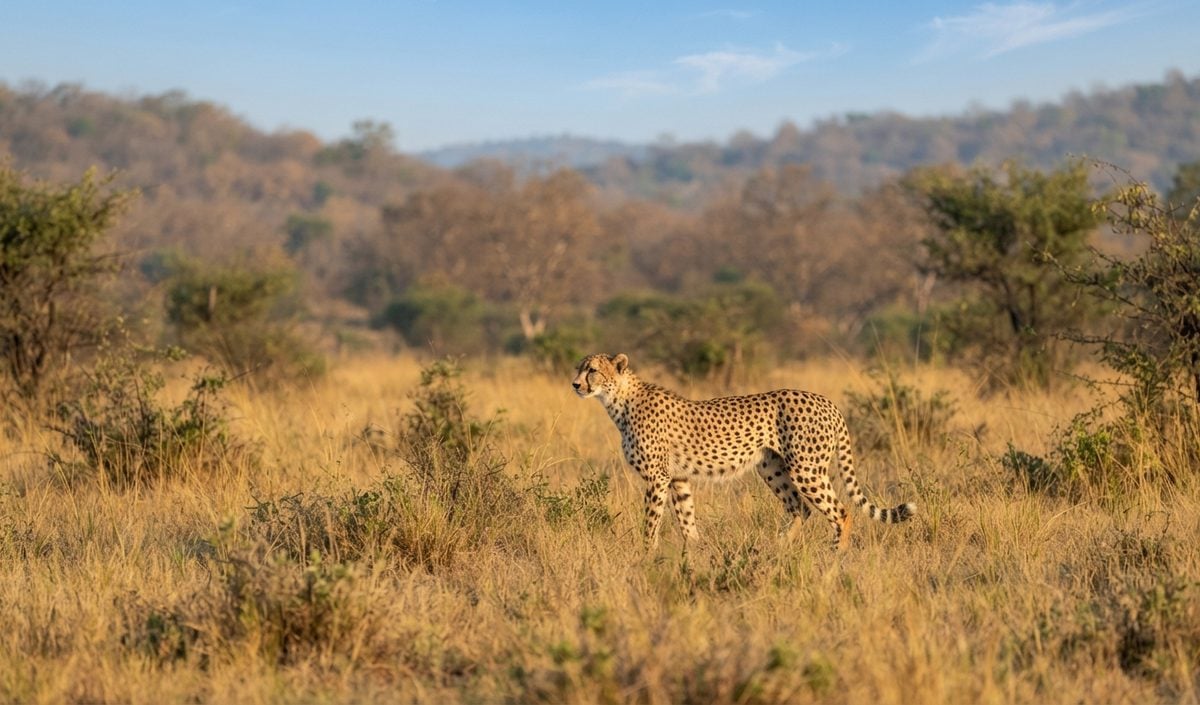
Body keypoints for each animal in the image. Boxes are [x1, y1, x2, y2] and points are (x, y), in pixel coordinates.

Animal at [572, 352, 916, 551]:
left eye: (593, 371)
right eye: (579, 369)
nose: (575, 384)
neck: (618, 400)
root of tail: (826, 401)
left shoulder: (657, 478)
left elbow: (651, 522)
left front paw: (646, 557)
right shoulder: (678, 479)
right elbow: (687, 521)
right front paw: (694, 555)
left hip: (806, 469)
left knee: (841, 513)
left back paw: (833, 560)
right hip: (772, 468)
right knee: (800, 509)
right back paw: (779, 549)